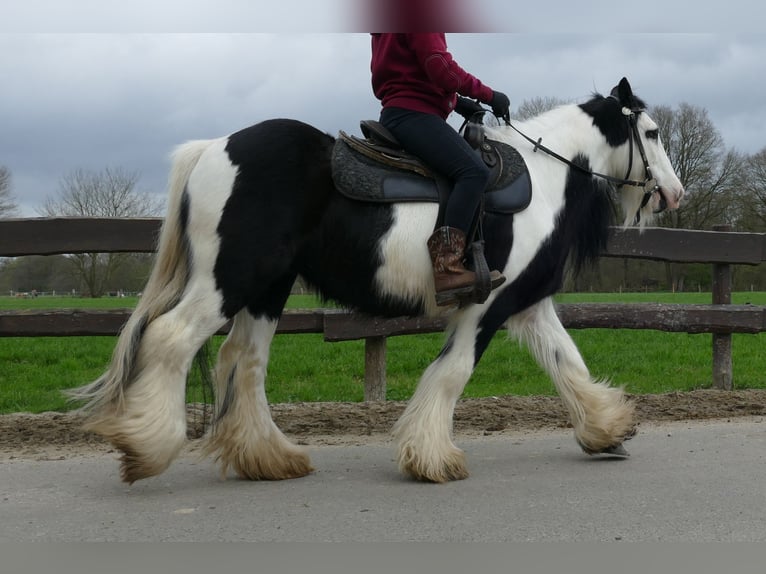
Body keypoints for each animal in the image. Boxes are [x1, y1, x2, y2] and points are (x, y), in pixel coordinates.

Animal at [70, 75, 684, 482]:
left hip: (267, 289)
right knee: (172, 340)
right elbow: (453, 372)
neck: (545, 176)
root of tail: (213, 149)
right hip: (229, 281)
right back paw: (149, 446)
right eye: (652, 132)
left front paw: (608, 429)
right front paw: (431, 458)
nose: (675, 195)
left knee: (243, 361)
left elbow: (566, 361)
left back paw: (270, 457)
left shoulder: (527, 303)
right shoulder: (486, 306)